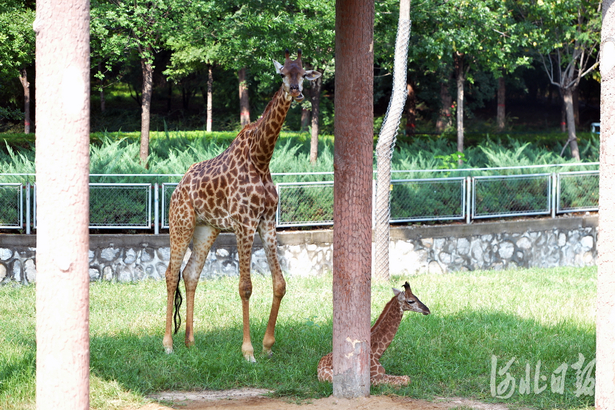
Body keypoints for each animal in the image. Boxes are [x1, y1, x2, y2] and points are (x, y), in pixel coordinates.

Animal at [161, 51, 320, 362]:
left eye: (303, 74)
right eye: (283, 74)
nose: (296, 91)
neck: (261, 158)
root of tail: (178, 187)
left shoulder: (267, 221)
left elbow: (280, 284)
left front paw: (268, 345)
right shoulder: (244, 223)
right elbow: (245, 287)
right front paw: (248, 351)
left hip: (206, 228)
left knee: (190, 273)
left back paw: (190, 342)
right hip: (181, 222)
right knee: (171, 273)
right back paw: (168, 345)